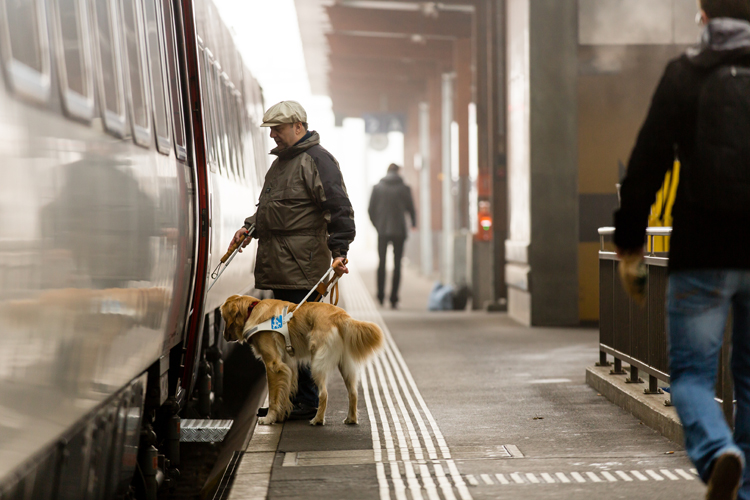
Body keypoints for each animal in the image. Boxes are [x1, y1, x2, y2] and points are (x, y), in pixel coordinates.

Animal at [217, 294, 382, 428]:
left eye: (223, 318)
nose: (224, 336)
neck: (252, 310)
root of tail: (340, 315)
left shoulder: (273, 365)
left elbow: (273, 397)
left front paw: (269, 418)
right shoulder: (287, 366)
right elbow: (284, 393)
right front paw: (281, 415)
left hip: (317, 364)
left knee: (323, 394)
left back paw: (317, 420)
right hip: (345, 365)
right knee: (353, 392)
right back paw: (351, 419)